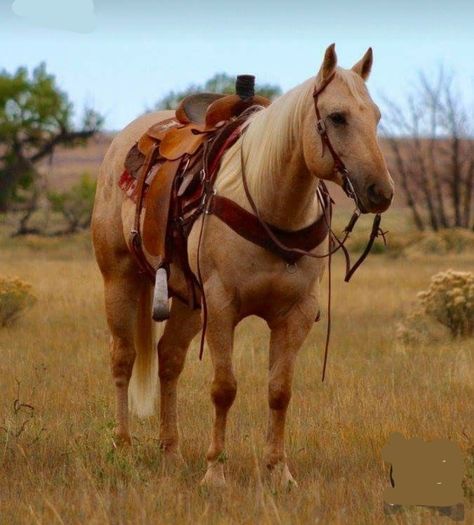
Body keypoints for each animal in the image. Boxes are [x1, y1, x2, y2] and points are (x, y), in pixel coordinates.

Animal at [91, 44, 392, 488]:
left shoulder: (295, 314)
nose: (381, 191)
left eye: (376, 116)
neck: (272, 207)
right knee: (123, 358)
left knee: (169, 360)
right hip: (120, 280)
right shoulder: (222, 307)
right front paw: (215, 471)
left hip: (187, 300)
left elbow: (279, 390)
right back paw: (124, 447)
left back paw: (171, 453)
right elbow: (224, 388)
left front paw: (279, 471)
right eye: (337, 117)